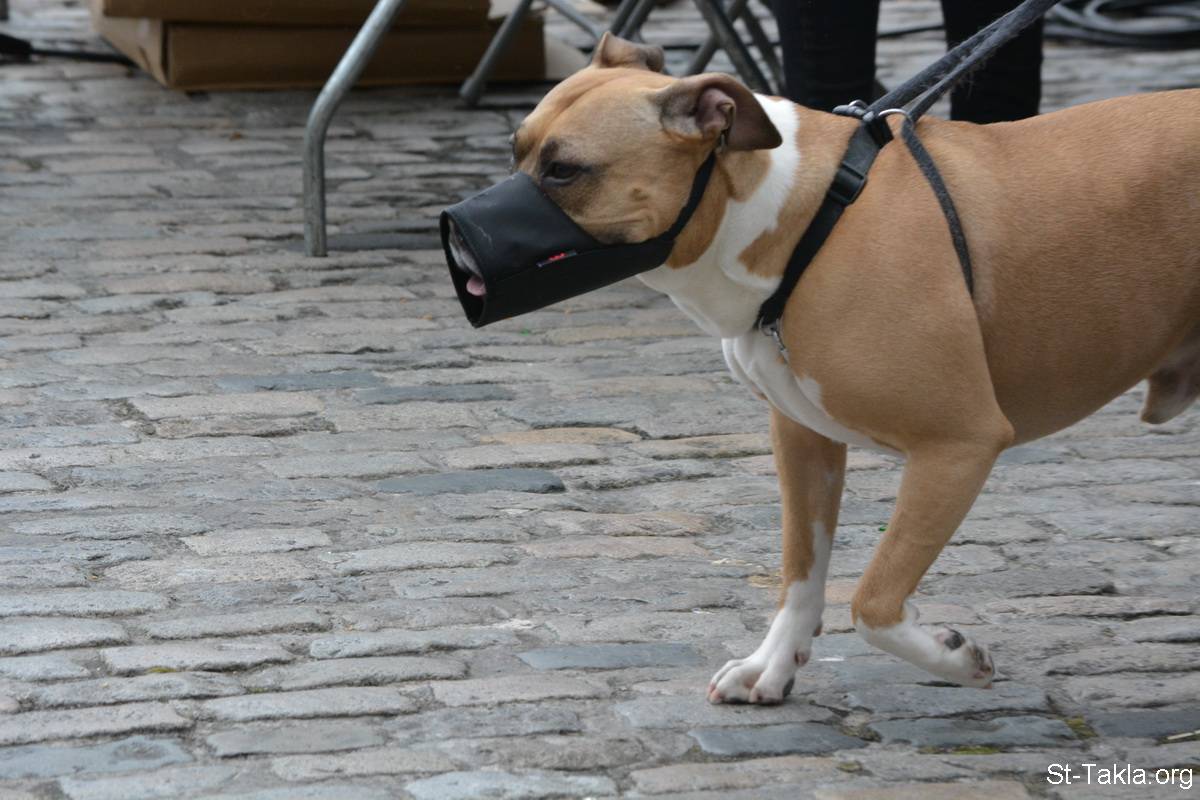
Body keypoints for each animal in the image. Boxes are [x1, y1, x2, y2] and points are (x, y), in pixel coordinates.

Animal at [507, 33, 1200, 703]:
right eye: (516, 151)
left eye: (564, 171)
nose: (475, 238)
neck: (808, 219)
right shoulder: (802, 442)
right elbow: (802, 573)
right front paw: (771, 667)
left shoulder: (958, 447)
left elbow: (872, 603)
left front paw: (954, 659)